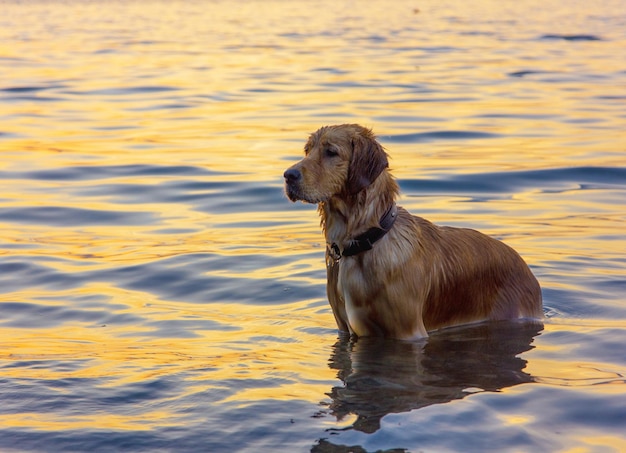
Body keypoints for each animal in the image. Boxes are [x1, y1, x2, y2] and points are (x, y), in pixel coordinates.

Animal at [282, 123, 540, 340]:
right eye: (307, 150)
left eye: (331, 152)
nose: (288, 175)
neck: (364, 242)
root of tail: (526, 268)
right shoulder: (344, 327)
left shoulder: (408, 331)